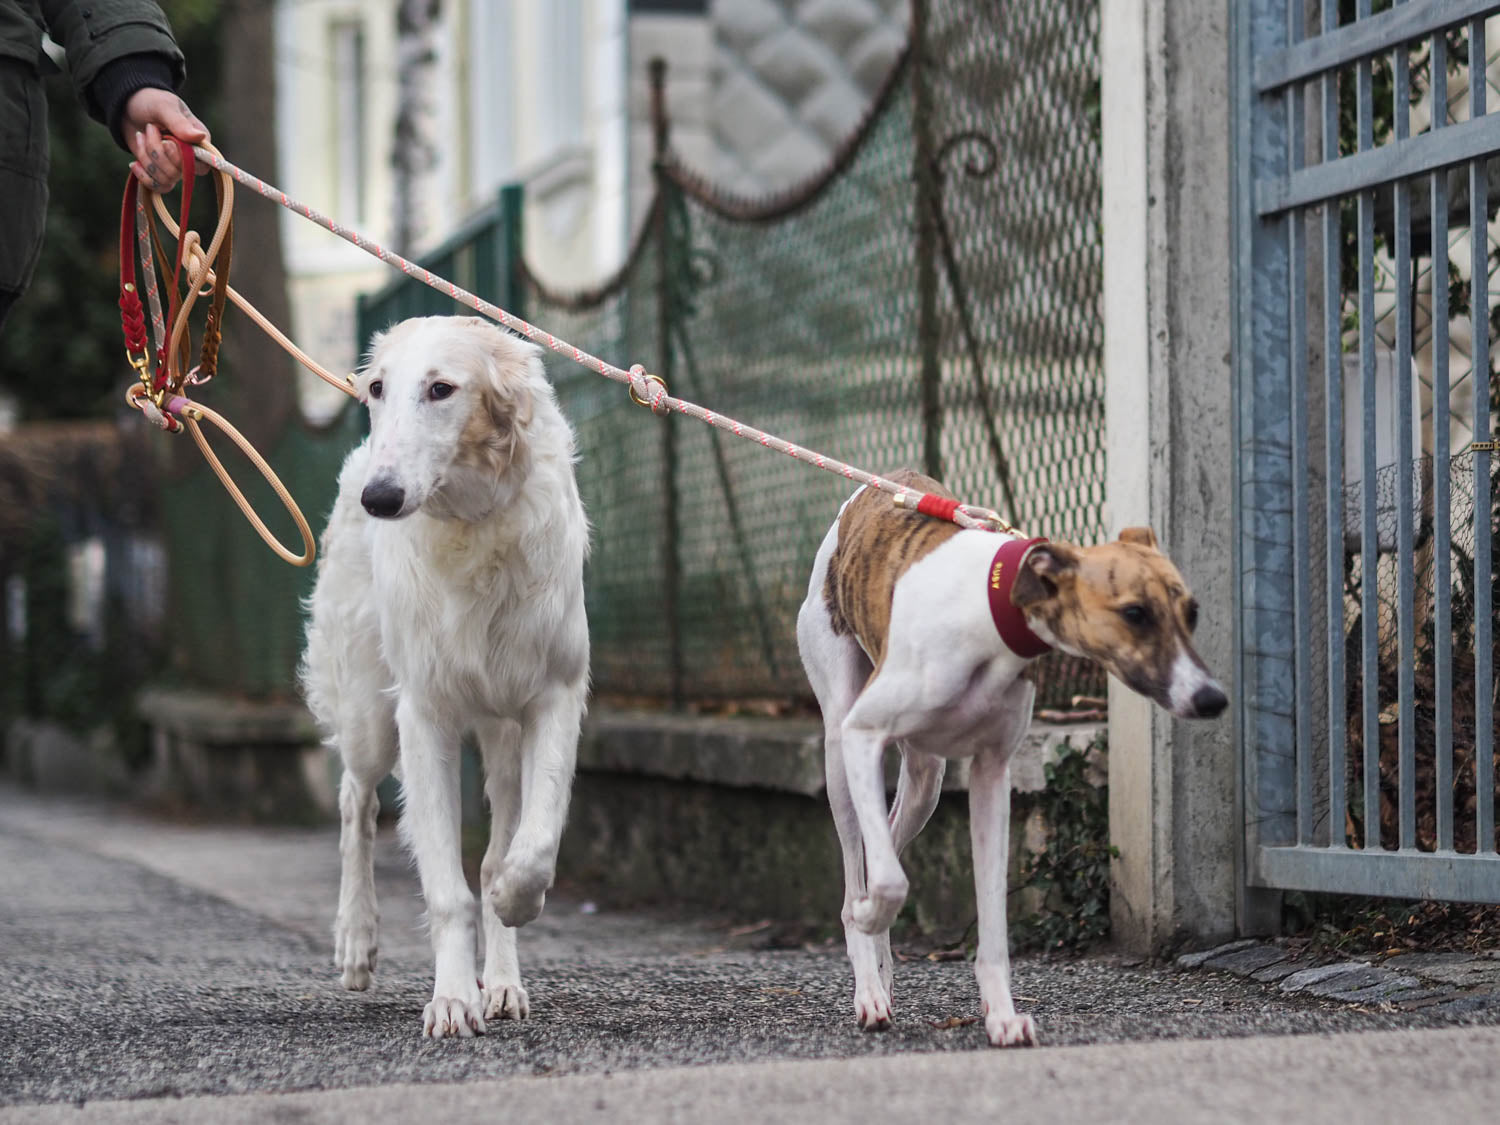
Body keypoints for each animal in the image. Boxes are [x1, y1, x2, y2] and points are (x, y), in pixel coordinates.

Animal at [301, 315, 588, 1038]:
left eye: (441, 388)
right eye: (377, 387)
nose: (381, 498)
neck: (473, 521)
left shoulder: (552, 697)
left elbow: (527, 848)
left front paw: (514, 903)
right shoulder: (424, 713)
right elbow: (447, 888)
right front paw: (452, 999)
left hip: (499, 736)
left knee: (491, 847)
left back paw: (505, 983)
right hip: (371, 718)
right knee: (354, 800)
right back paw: (356, 941)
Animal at [792, 471, 1224, 1056]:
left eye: (1192, 612)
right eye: (1135, 613)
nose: (1212, 700)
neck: (992, 617)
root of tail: (873, 489)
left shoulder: (992, 775)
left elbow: (992, 913)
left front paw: (1001, 1016)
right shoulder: (865, 736)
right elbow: (888, 884)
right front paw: (869, 923)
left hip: (926, 780)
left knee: (891, 836)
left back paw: (881, 972)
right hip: (841, 745)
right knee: (859, 868)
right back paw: (868, 988)